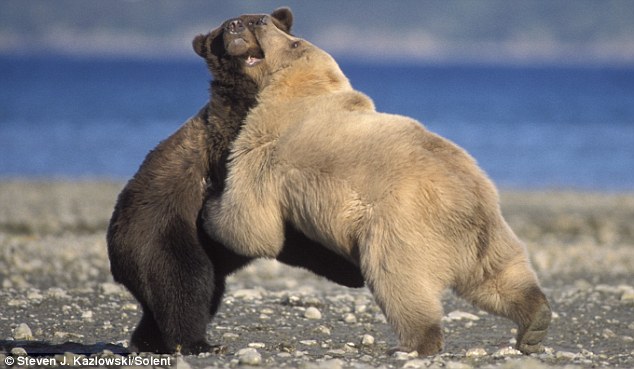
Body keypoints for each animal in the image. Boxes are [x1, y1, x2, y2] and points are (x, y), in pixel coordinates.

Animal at [106, 7, 362, 354]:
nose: (235, 26)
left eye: (254, 19)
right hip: (159, 232)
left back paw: (147, 340)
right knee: (184, 284)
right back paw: (197, 342)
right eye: (220, 32)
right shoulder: (230, 148)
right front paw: (349, 267)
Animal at [202, 15, 548, 354]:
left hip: (401, 230)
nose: (260, 20)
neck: (298, 90)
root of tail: (469, 201)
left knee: (400, 284)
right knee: (498, 277)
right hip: (487, 235)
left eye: (294, 41)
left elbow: (252, 221)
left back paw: (413, 343)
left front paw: (210, 208)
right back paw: (534, 321)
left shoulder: (268, 145)